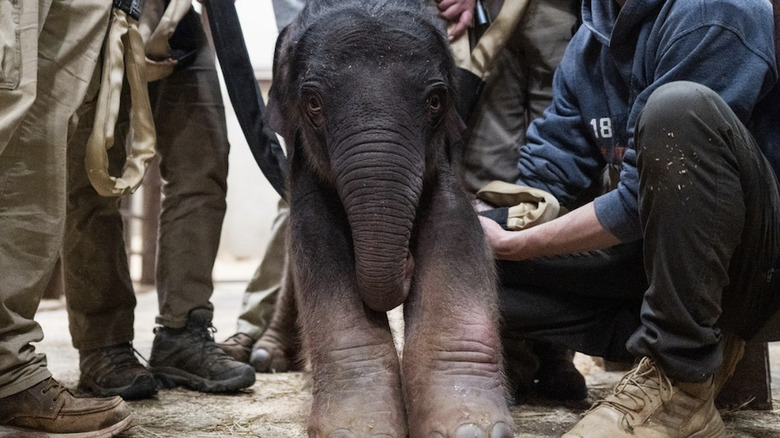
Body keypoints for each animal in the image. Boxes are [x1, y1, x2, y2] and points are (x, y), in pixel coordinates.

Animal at [258, 1, 514, 436]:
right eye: (313, 104)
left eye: (435, 102)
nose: (406, 262)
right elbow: (316, 238)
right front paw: (361, 429)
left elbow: (454, 226)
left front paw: (472, 427)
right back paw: (265, 357)